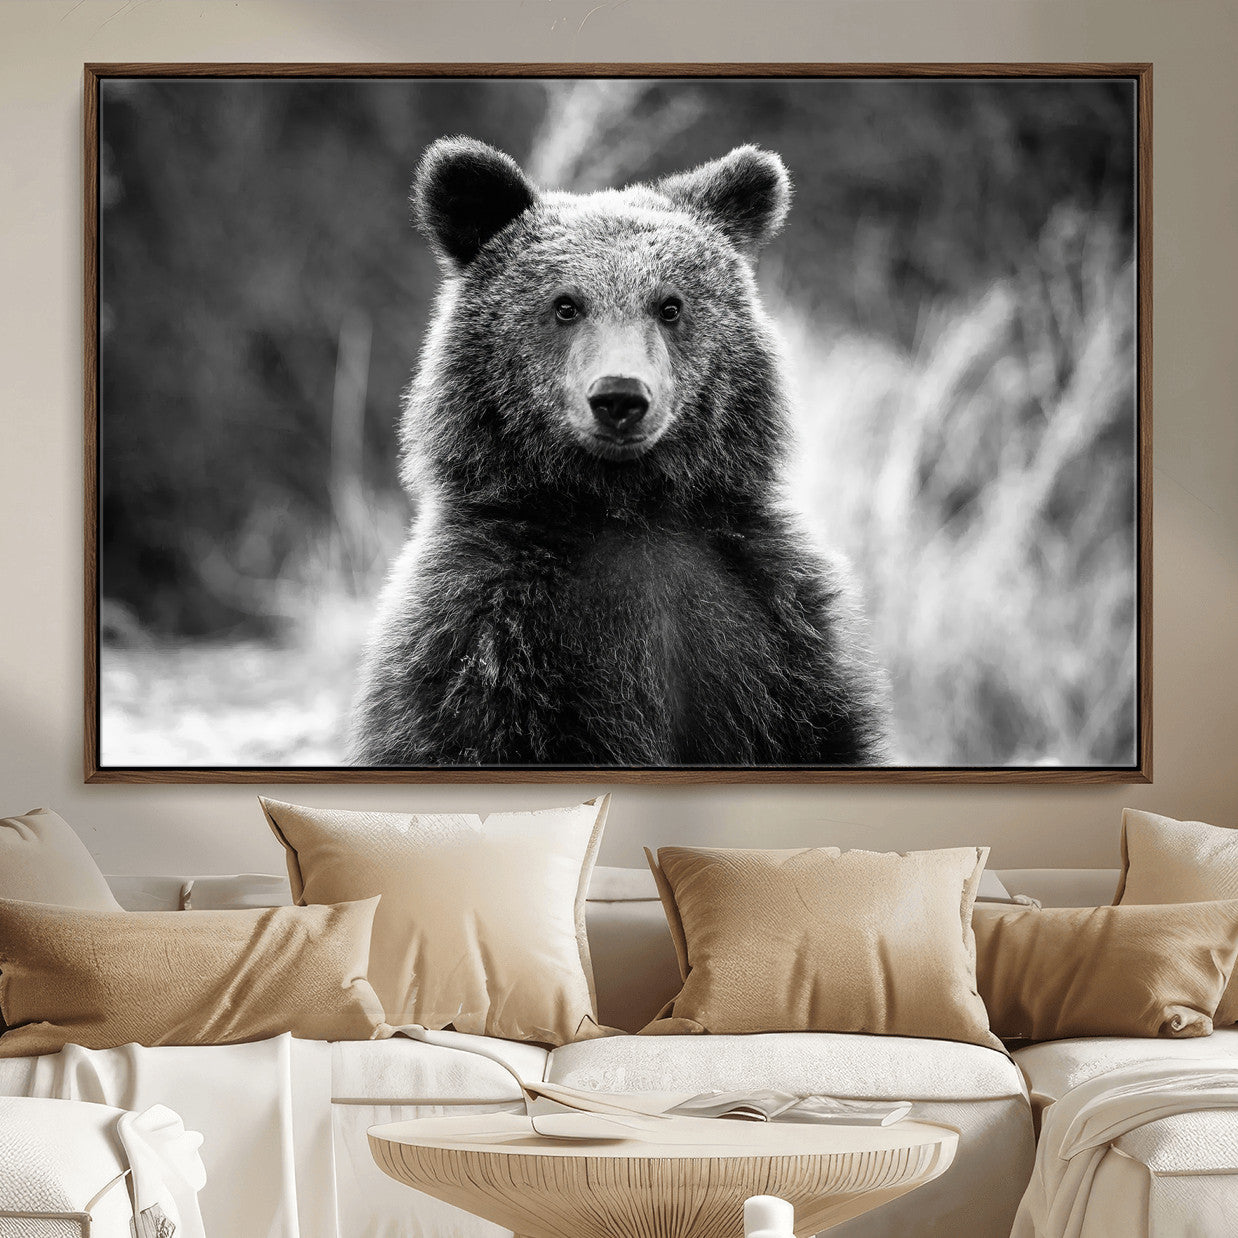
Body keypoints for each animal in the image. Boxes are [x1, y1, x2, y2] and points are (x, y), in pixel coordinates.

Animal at [348, 136, 889, 768]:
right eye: (565, 305)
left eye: (670, 305)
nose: (620, 397)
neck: (626, 508)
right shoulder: (483, 636)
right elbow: (454, 731)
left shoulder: (775, 627)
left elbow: (822, 730)